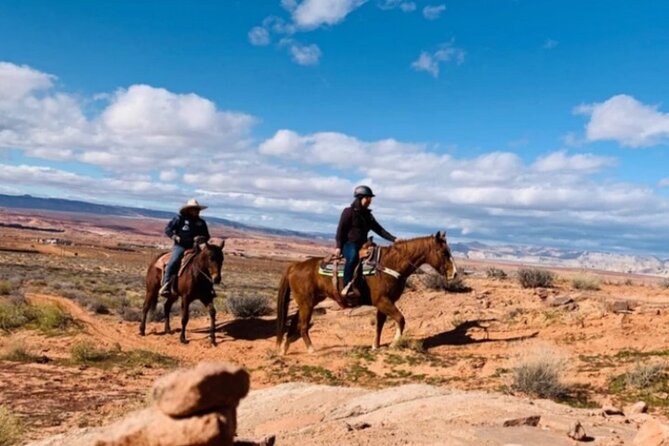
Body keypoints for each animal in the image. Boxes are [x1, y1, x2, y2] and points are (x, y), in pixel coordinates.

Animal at [276, 231, 457, 354]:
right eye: (444, 252)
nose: (454, 273)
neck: (390, 264)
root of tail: (295, 266)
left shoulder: (384, 303)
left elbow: (379, 325)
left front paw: (375, 346)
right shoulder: (382, 301)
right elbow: (401, 319)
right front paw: (394, 344)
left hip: (308, 301)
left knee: (294, 323)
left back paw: (284, 349)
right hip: (306, 303)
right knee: (303, 326)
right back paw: (311, 349)